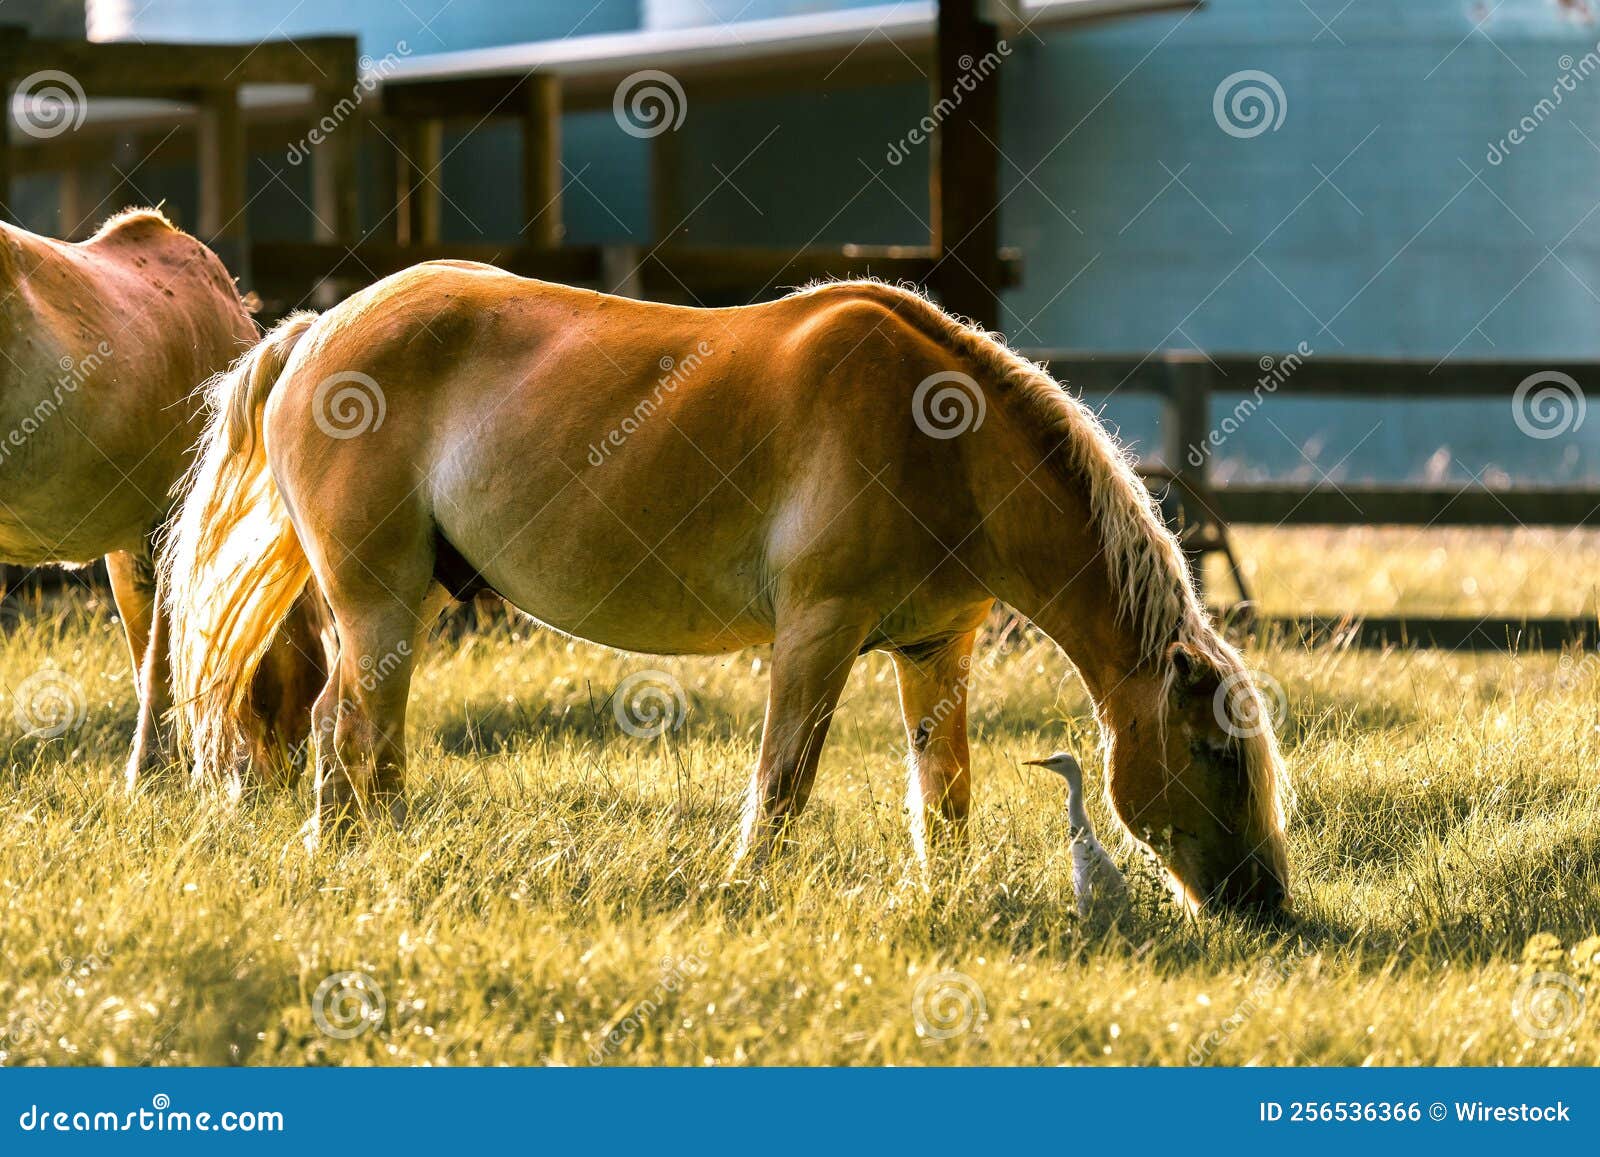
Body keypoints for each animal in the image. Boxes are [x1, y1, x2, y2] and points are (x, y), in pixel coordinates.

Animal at [0, 208, 324, 786]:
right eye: (313, 671)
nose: (286, 774)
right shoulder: (177, 523)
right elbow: (163, 660)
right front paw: (152, 772)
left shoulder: (132, 542)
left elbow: (144, 649)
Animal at [164, 264, 1291, 915]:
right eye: (1210, 751)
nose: (1265, 903)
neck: (943, 437)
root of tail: (315, 331)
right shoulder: (816, 636)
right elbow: (782, 780)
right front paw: (745, 889)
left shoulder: (936, 650)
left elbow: (946, 794)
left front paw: (943, 898)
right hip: (378, 596)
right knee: (343, 725)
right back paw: (348, 858)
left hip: (405, 604)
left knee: (371, 734)